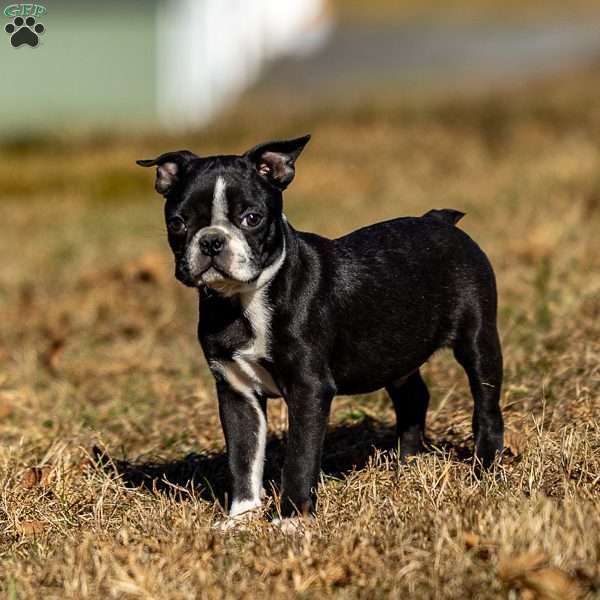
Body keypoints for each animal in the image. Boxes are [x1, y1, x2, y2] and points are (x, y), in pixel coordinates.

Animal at [138, 135, 504, 520]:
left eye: (252, 219)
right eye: (177, 223)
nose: (211, 241)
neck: (245, 299)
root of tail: (440, 220)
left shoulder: (308, 388)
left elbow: (299, 459)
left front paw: (291, 520)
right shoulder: (237, 391)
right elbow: (244, 457)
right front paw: (241, 517)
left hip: (478, 340)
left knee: (486, 406)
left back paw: (484, 470)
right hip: (395, 350)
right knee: (413, 396)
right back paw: (406, 465)